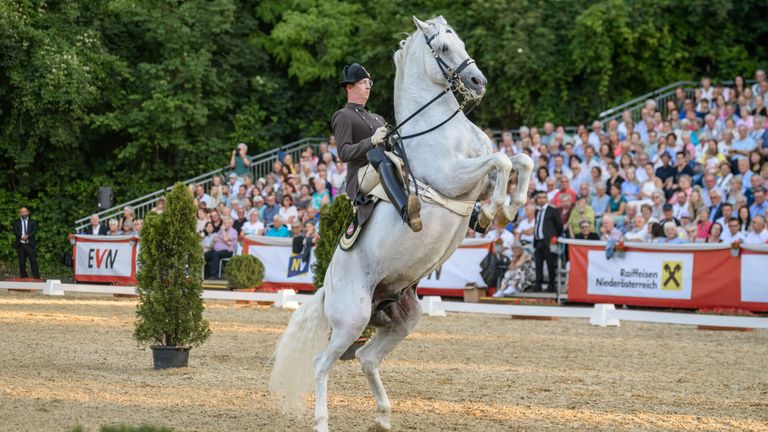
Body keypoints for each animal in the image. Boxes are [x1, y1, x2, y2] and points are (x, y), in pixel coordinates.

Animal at [270, 16, 533, 432]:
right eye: (442, 48)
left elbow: (520, 159)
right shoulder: (455, 179)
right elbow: (503, 161)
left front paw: (502, 210)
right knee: (322, 362)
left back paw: (382, 417)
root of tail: (327, 288)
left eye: (461, 41)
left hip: (401, 317)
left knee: (366, 358)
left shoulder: (478, 176)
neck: (438, 129)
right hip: (352, 320)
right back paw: (323, 421)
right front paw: (495, 212)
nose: (478, 82)